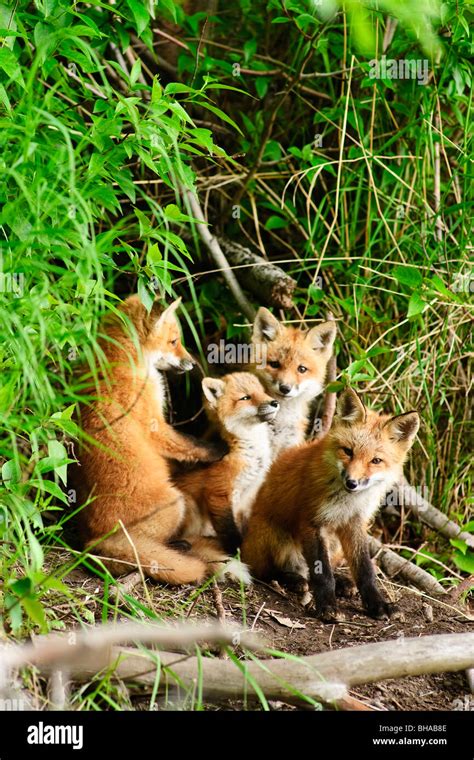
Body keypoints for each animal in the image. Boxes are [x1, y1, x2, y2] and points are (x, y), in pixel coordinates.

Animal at [75, 296, 244, 580]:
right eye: (174, 341)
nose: (192, 363)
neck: (121, 359)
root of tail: (93, 542)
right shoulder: (154, 425)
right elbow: (188, 444)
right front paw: (217, 450)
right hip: (176, 503)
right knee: (155, 544)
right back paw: (179, 547)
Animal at [178, 372, 282, 548]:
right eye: (246, 397)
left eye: (262, 392)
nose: (274, 402)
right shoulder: (219, 492)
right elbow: (229, 529)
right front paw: (235, 550)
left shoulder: (249, 495)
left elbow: (244, 525)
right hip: (188, 504)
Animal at [241, 388, 418, 620]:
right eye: (348, 451)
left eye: (376, 461)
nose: (352, 482)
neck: (347, 501)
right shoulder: (311, 522)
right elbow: (322, 573)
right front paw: (326, 606)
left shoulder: (355, 523)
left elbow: (365, 571)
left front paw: (378, 604)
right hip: (274, 535)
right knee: (265, 571)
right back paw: (292, 579)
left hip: (334, 545)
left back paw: (341, 582)